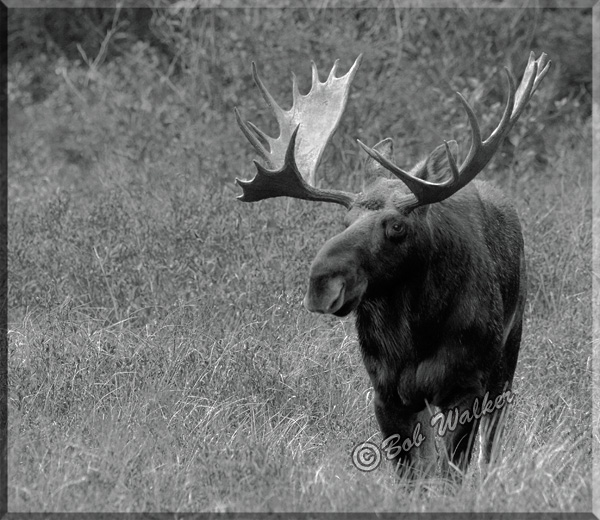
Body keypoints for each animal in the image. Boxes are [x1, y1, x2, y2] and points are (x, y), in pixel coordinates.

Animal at [233, 51, 548, 476]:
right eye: (344, 221)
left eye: (397, 225)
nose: (321, 283)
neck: (414, 335)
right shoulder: (386, 394)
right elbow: (411, 474)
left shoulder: (466, 388)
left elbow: (454, 471)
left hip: (508, 353)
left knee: (492, 441)